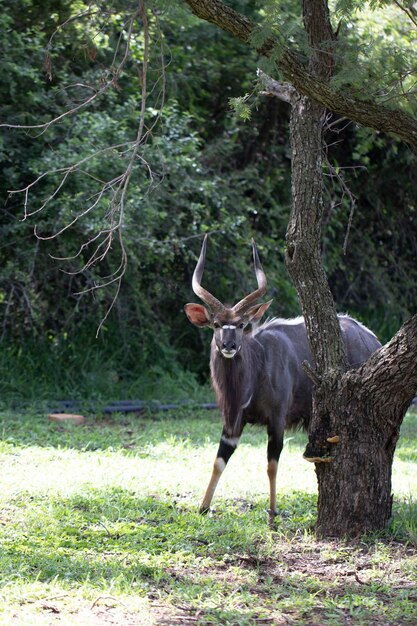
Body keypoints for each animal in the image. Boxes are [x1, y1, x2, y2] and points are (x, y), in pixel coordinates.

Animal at [185, 234, 380, 520]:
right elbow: (219, 461)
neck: (255, 374)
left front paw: (273, 513)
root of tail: (373, 339)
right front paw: (203, 506)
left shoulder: (277, 420)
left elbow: (271, 465)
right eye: (217, 325)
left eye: (241, 325)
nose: (229, 346)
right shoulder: (233, 424)